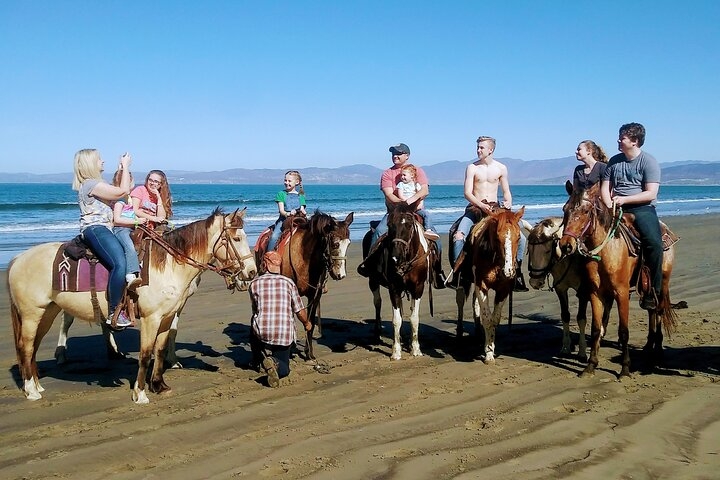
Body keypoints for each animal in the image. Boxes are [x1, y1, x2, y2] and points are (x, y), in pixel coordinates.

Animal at [8, 208, 256, 404]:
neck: (168, 264)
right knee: (25, 347)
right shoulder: (150, 318)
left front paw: (159, 385)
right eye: (236, 239)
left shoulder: (167, 317)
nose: (252, 272)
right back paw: (31, 390)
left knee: (33, 347)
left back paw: (37, 384)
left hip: (46, 312)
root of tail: (17, 260)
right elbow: (145, 354)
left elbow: (160, 349)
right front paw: (140, 393)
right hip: (31, 314)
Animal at [266, 210, 352, 360]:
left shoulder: (315, 295)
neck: (304, 257)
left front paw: (309, 353)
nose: (340, 274)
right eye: (335, 244)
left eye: (348, 244)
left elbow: (310, 322)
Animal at [450, 206, 524, 364]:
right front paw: (489, 354)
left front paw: (490, 347)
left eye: (519, 238)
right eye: (497, 237)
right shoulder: (481, 284)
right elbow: (487, 318)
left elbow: (494, 319)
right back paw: (460, 331)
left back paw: (478, 333)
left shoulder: (503, 289)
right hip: (464, 281)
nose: (508, 271)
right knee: (461, 301)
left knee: (475, 303)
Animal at [520, 217, 612, 360]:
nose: (535, 282)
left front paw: (582, 351)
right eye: (529, 248)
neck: (568, 257)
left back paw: (601, 331)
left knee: (608, 304)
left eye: (547, 251)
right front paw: (565, 348)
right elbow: (565, 316)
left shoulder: (583, 291)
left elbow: (581, 318)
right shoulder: (561, 289)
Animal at [560, 182, 676, 376]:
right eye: (565, 209)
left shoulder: (621, 292)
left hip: (663, 282)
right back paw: (648, 345)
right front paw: (590, 365)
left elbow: (623, 331)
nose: (565, 245)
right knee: (651, 310)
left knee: (659, 310)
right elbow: (596, 328)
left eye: (586, 211)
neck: (606, 251)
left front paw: (625, 368)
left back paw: (658, 349)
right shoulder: (595, 293)